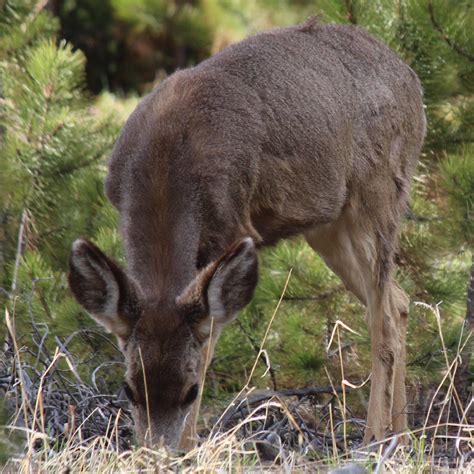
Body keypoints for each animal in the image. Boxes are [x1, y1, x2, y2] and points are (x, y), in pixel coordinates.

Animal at [67, 18, 426, 448]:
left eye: (191, 391)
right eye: (129, 390)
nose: (159, 453)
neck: (164, 169)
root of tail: (411, 78)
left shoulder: (231, 227)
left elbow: (206, 350)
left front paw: (190, 446)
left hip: (380, 191)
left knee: (382, 318)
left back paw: (376, 438)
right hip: (327, 225)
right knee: (398, 301)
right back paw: (402, 435)